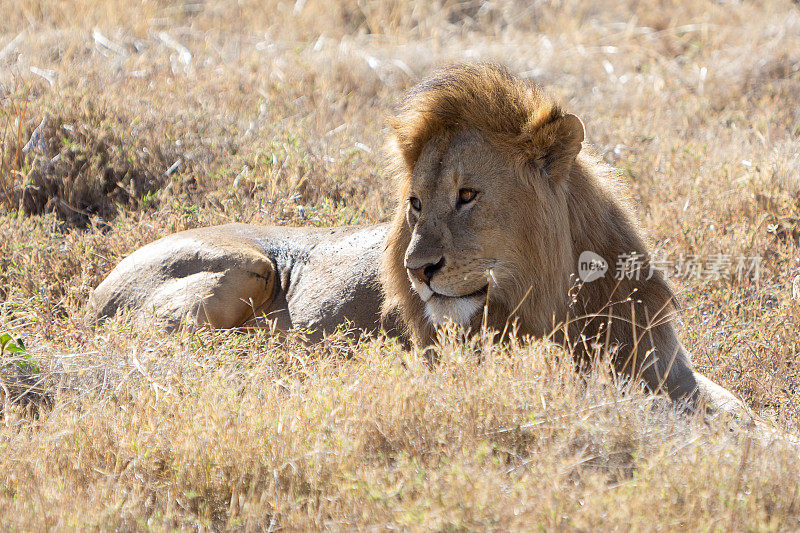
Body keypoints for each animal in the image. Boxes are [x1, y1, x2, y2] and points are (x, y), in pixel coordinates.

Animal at [86, 62, 744, 412]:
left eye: (468, 195)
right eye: (415, 204)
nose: (417, 269)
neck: (557, 299)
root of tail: (93, 293)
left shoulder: (668, 368)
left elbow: (735, 410)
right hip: (246, 265)